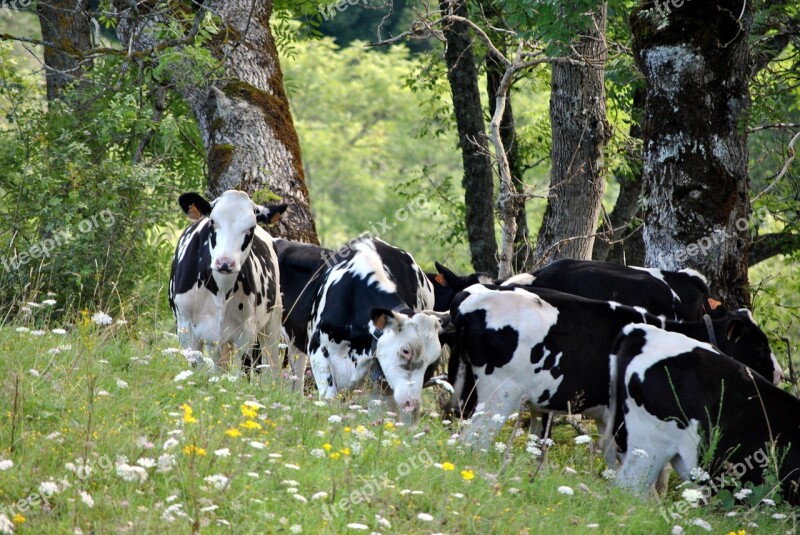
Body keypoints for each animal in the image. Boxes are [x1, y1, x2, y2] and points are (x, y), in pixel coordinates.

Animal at [169, 191, 288, 374]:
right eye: (212, 221)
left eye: (251, 228)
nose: (225, 263)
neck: (220, 292)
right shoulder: (186, 329)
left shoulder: (246, 334)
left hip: (272, 322)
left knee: (272, 366)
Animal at [446, 286, 784, 450]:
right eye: (759, 345)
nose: (779, 374)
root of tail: (469, 298)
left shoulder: (603, 414)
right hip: (499, 395)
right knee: (472, 441)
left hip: (465, 390)